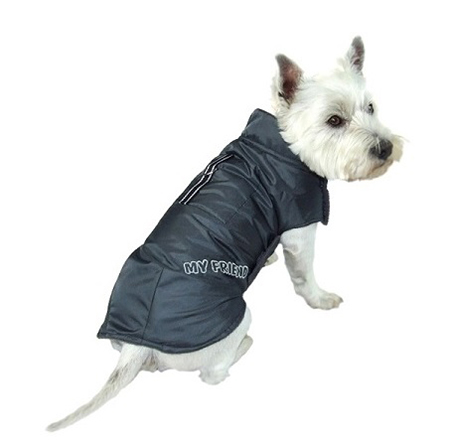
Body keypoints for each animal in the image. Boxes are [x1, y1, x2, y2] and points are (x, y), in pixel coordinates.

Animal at [47, 36, 403, 431]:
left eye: (370, 107)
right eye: (334, 120)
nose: (385, 148)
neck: (286, 146)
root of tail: (136, 349)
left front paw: (268, 256)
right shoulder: (300, 231)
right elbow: (305, 275)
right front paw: (320, 298)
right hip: (238, 317)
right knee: (213, 373)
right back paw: (244, 346)